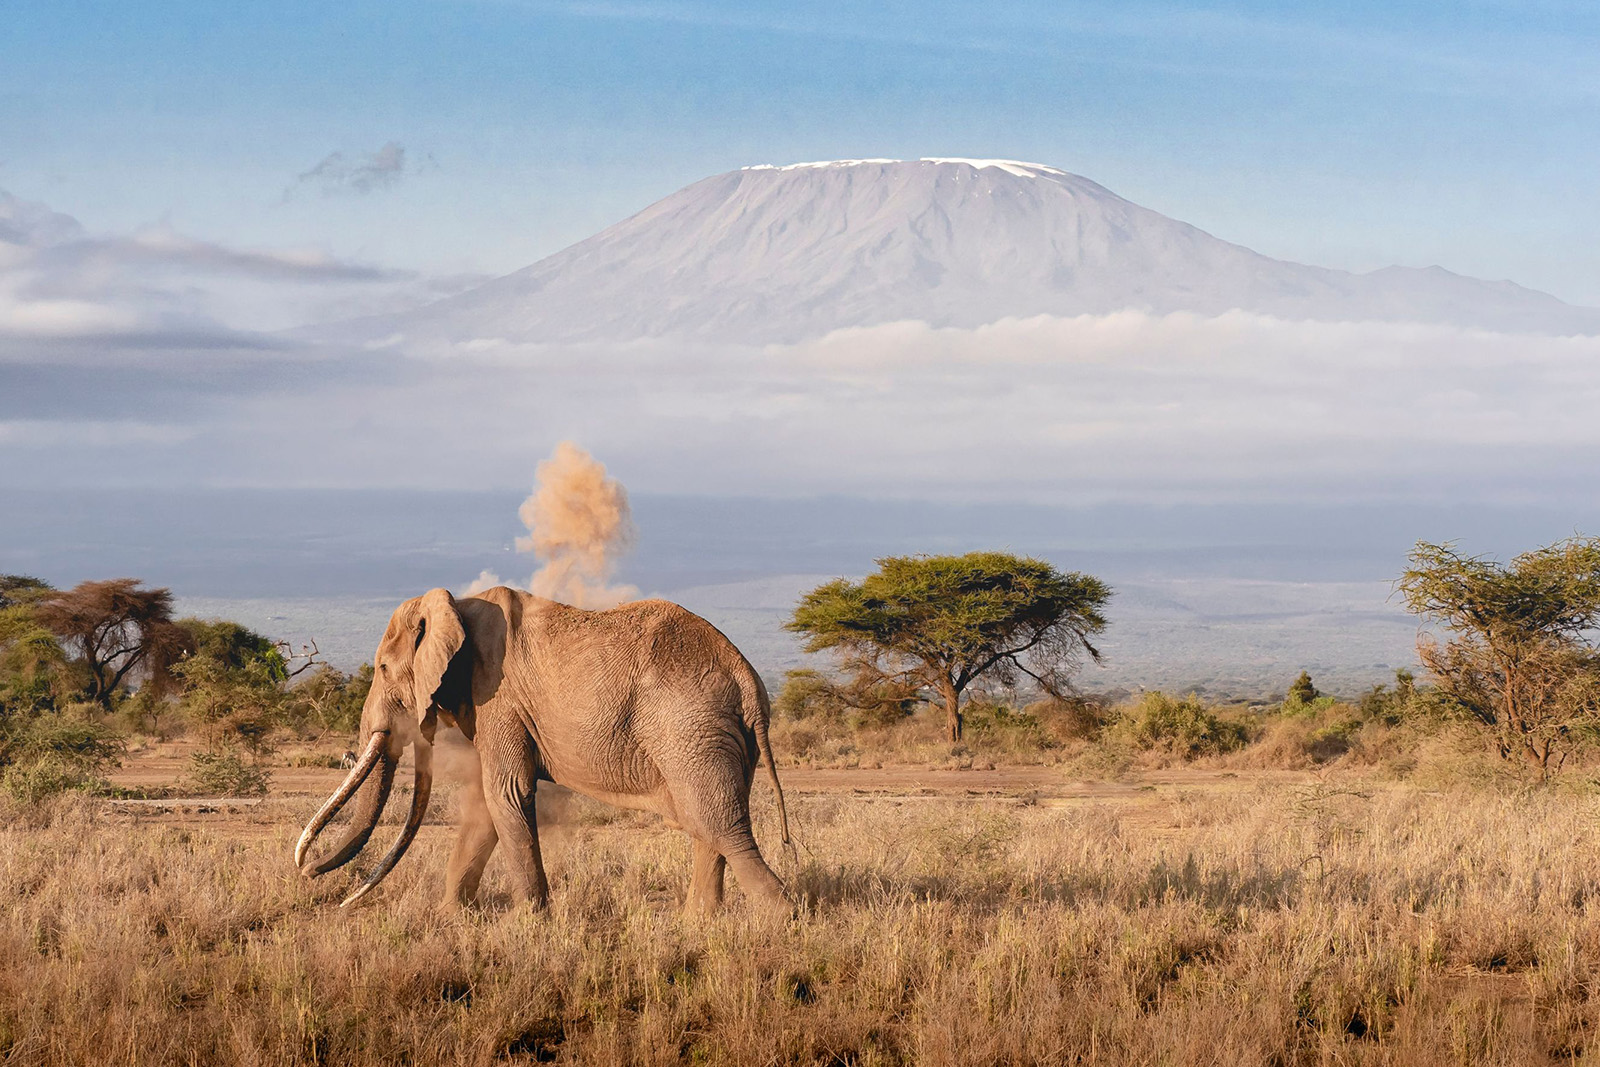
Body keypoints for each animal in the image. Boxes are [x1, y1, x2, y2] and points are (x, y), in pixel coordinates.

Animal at [294, 586, 791, 914]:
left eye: (381, 667)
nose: (310, 874)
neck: (456, 604)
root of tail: (747, 679)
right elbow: (487, 804)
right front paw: (451, 918)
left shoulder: (498, 698)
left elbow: (506, 793)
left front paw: (531, 923)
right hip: (715, 737)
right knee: (707, 825)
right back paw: (698, 926)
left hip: (691, 729)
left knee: (720, 826)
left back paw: (780, 919)